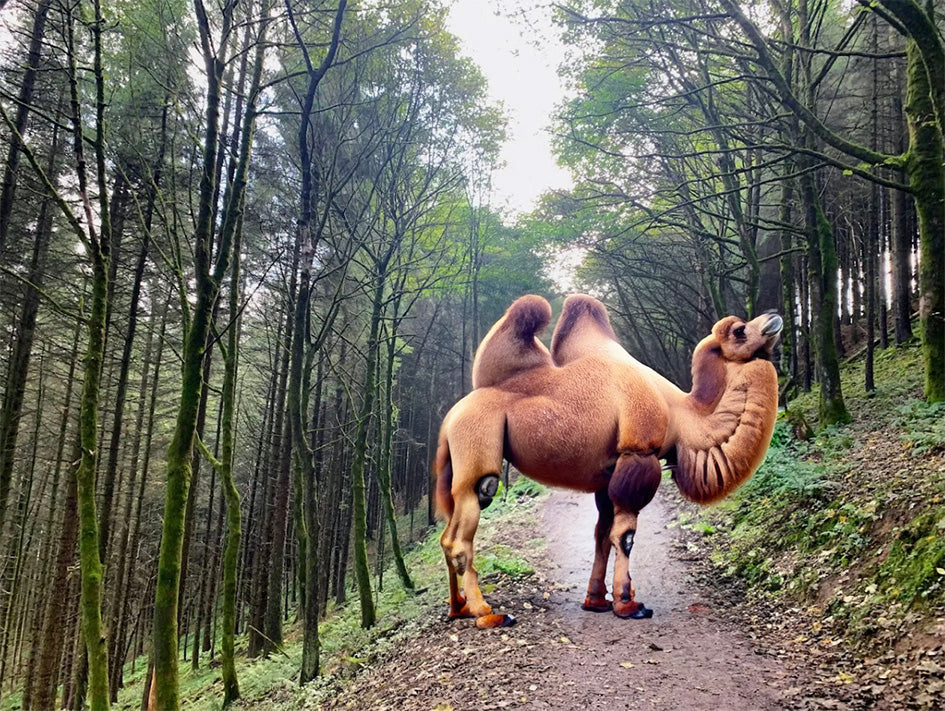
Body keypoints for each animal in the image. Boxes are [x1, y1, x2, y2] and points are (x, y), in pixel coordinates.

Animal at [436, 294, 780, 628]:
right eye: (739, 330)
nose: (773, 315)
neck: (683, 414)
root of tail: (449, 419)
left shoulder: (609, 472)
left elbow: (601, 535)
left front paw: (596, 601)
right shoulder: (639, 453)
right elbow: (624, 536)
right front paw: (627, 604)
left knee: (446, 535)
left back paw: (459, 609)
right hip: (478, 450)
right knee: (462, 532)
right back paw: (487, 614)